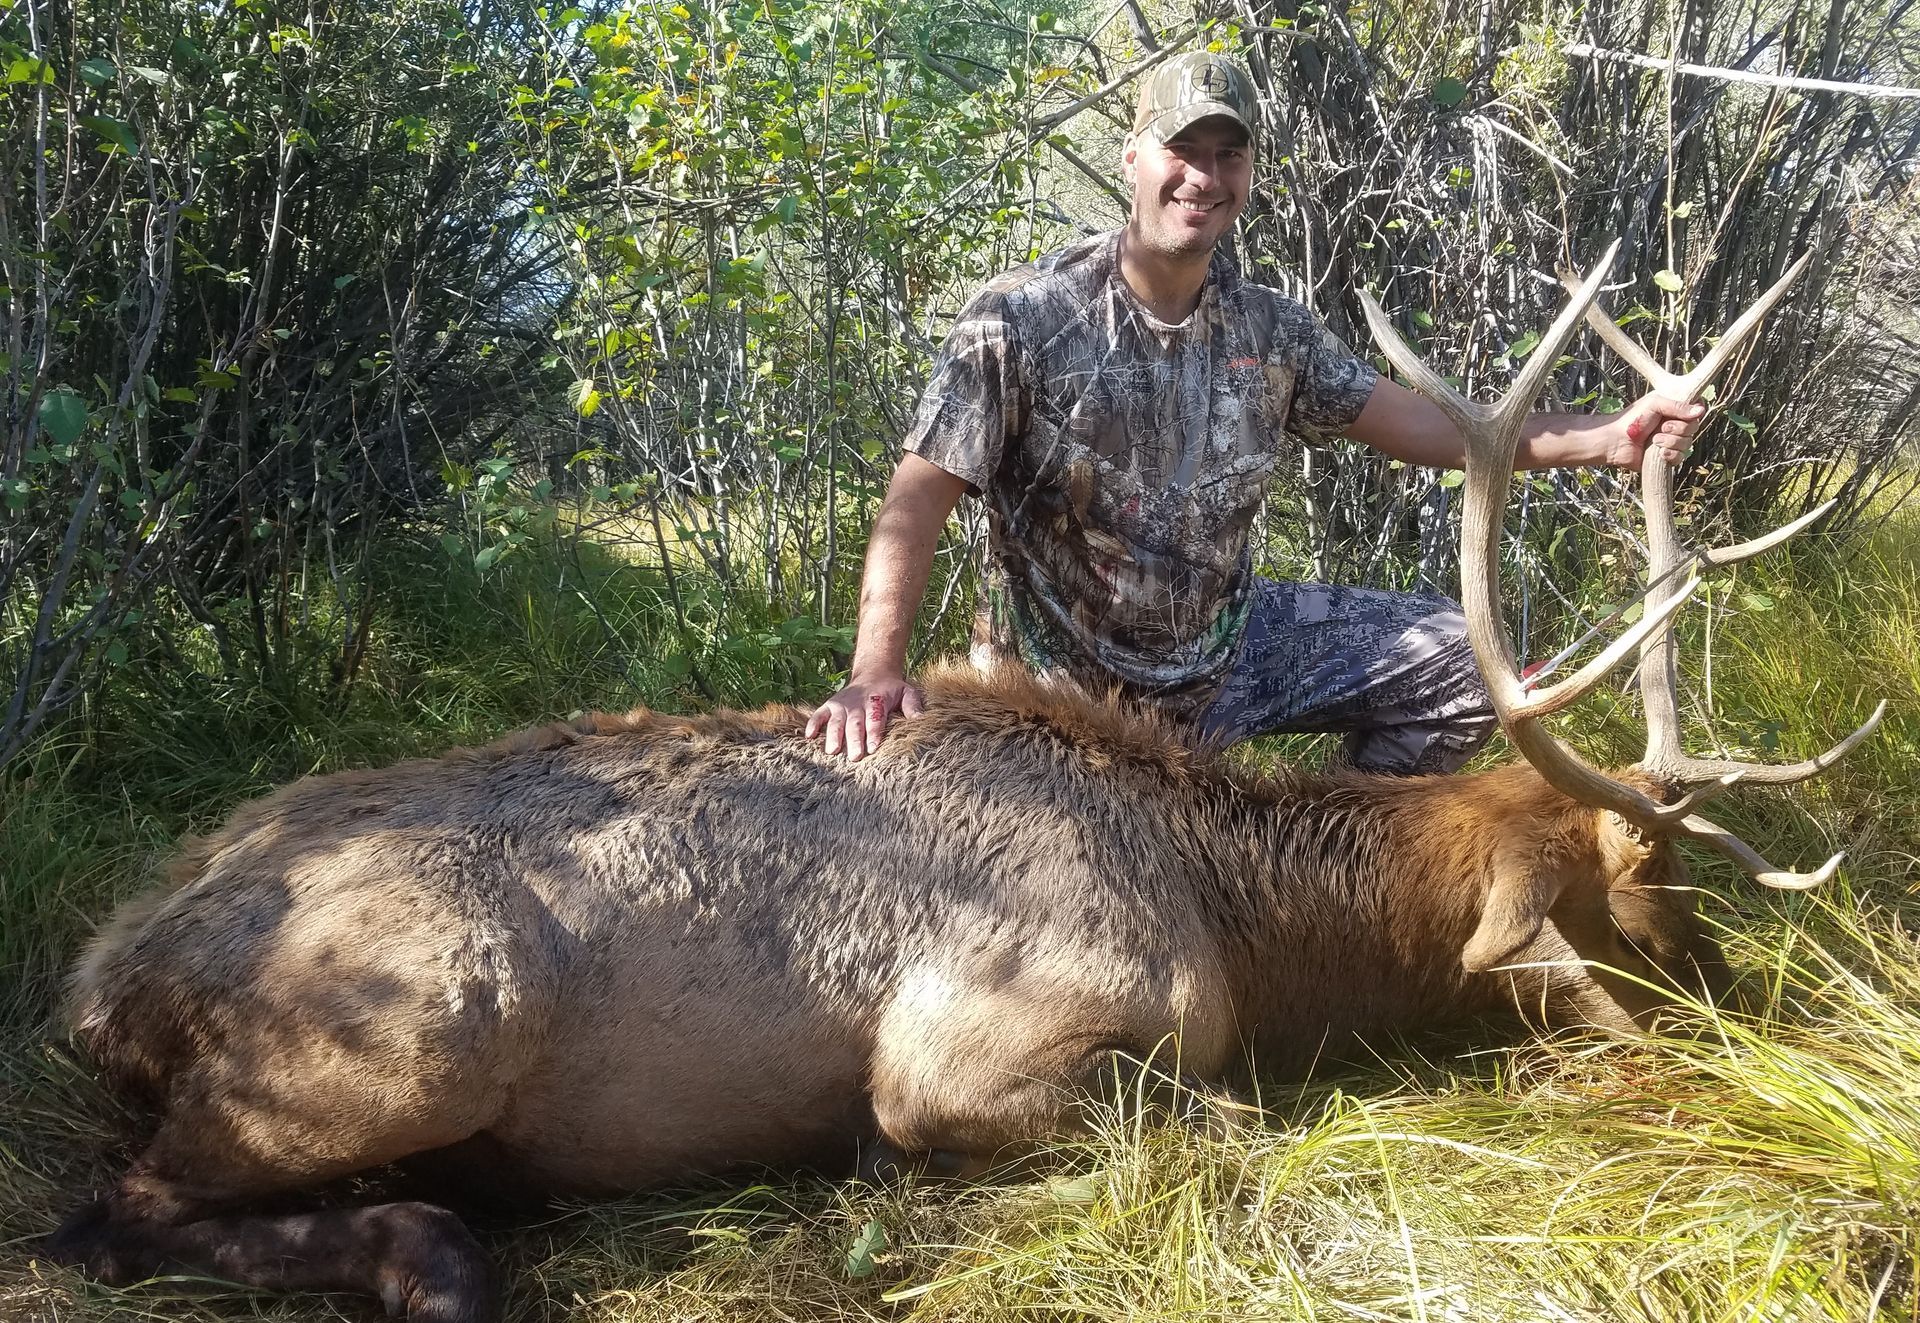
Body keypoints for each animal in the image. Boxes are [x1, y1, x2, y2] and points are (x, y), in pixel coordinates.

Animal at [44, 247, 1881, 1322]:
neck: (1243, 914)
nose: (1759, 1007)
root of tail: (99, 972)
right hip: (424, 1020)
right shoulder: (959, 1047)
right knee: (104, 1208)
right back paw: (427, 1253)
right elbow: (1217, 1115)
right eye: (1646, 888)